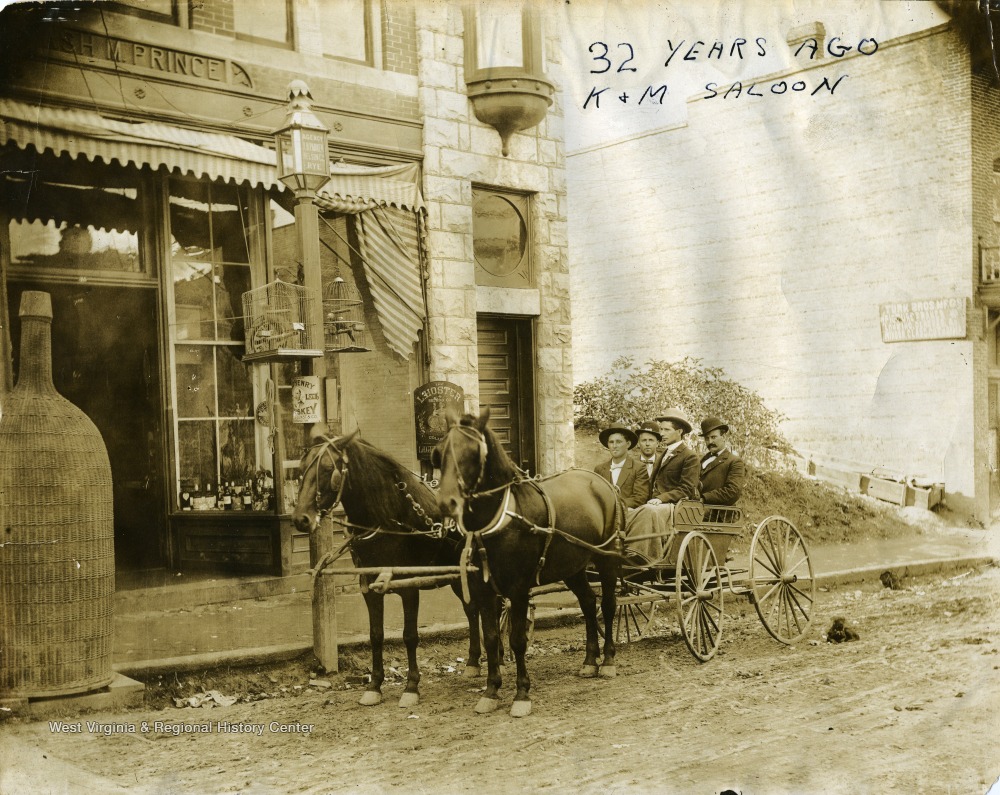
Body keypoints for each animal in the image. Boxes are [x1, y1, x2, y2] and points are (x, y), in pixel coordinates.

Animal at [291, 426, 487, 708]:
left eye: (329, 469)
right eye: (301, 467)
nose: (300, 519)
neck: (388, 519)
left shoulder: (409, 588)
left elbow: (409, 635)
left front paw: (411, 686)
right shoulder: (369, 587)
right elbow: (376, 635)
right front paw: (374, 685)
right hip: (457, 577)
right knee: (472, 611)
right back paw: (473, 662)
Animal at [432, 408, 623, 717]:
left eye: (473, 452)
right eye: (438, 454)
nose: (446, 503)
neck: (499, 521)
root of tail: (601, 482)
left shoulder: (519, 590)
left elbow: (517, 640)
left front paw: (521, 694)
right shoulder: (484, 591)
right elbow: (491, 637)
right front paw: (491, 690)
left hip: (607, 559)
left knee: (607, 605)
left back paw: (607, 661)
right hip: (573, 567)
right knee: (587, 602)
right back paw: (589, 661)